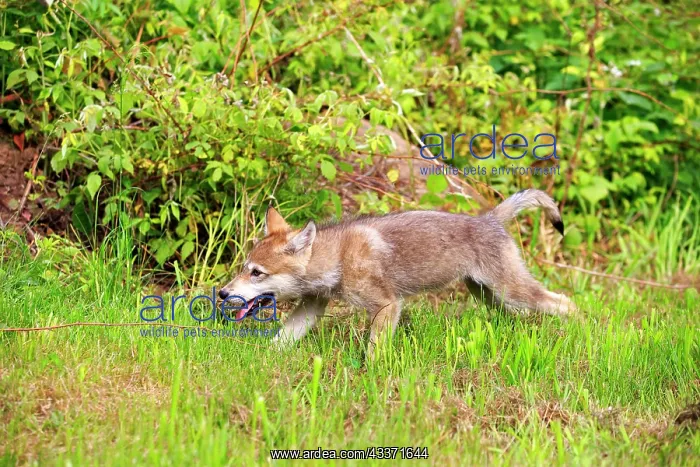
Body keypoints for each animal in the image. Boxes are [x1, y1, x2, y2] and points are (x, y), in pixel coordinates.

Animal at [219, 189, 577, 357]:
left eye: (257, 273)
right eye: (244, 268)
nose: (222, 293)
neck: (339, 257)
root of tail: (489, 218)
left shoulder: (387, 306)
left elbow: (374, 352)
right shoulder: (311, 307)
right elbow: (280, 341)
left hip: (512, 292)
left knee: (568, 304)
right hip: (492, 297)